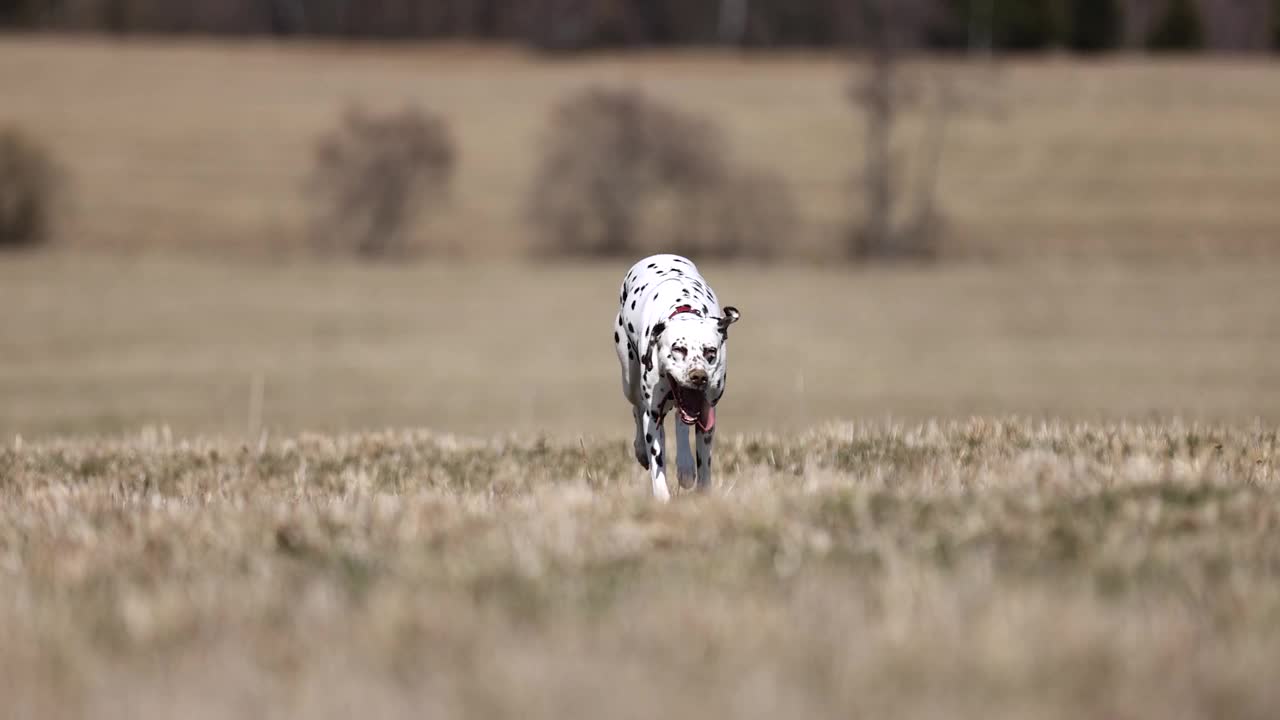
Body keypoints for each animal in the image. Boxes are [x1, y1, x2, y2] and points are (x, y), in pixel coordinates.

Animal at [611, 252, 742, 499]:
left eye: (710, 352)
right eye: (678, 349)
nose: (698, 376)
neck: (684, 307)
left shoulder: (706, 416)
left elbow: (704, 462)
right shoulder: (653, 414)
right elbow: (657, 462)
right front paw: (662, 498)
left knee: (680, 425)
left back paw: (685, 467)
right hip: (629, 381)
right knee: (637, 409)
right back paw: (641, 450)